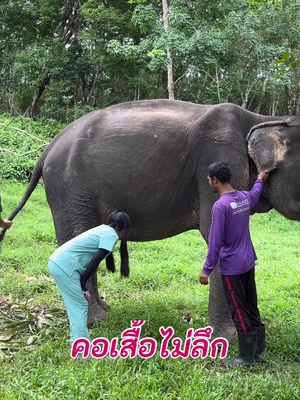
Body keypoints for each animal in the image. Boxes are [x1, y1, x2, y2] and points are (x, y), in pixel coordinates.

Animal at [2, 100, 300, 340]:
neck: (260, 117)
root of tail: (48, 148)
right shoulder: (220, 158)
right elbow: (216, 235)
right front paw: (231, 338)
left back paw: (103, 311)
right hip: (69, 188)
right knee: (77, 238)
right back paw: (96, 320)